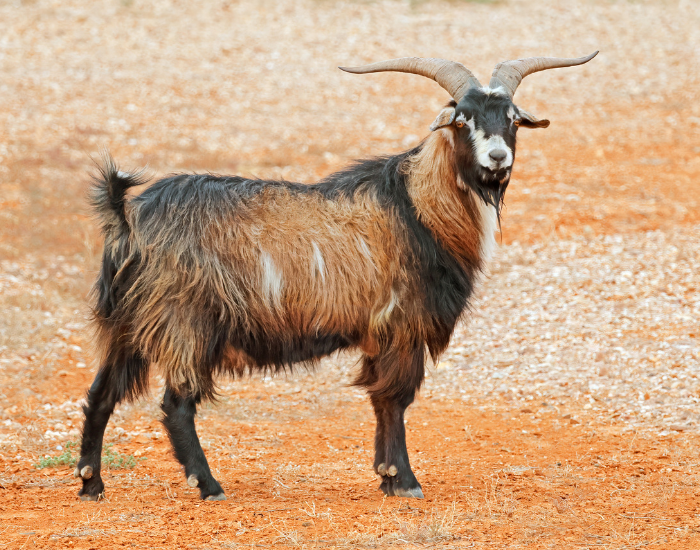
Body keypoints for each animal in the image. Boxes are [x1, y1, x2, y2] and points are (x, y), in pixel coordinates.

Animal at [76, 52, 597, 501]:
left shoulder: (382, 331)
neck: (417, 207)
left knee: (100, 394)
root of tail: (127, 217)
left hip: (127, 323)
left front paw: (386, 476)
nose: (497, 159)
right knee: (177, 403)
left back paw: (90, 483)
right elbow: (395, 399)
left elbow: (380, 399)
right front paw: (404, 480)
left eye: (510, 118)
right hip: (185, 321)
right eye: (462, 119)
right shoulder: (403, 323)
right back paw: (207, 485)